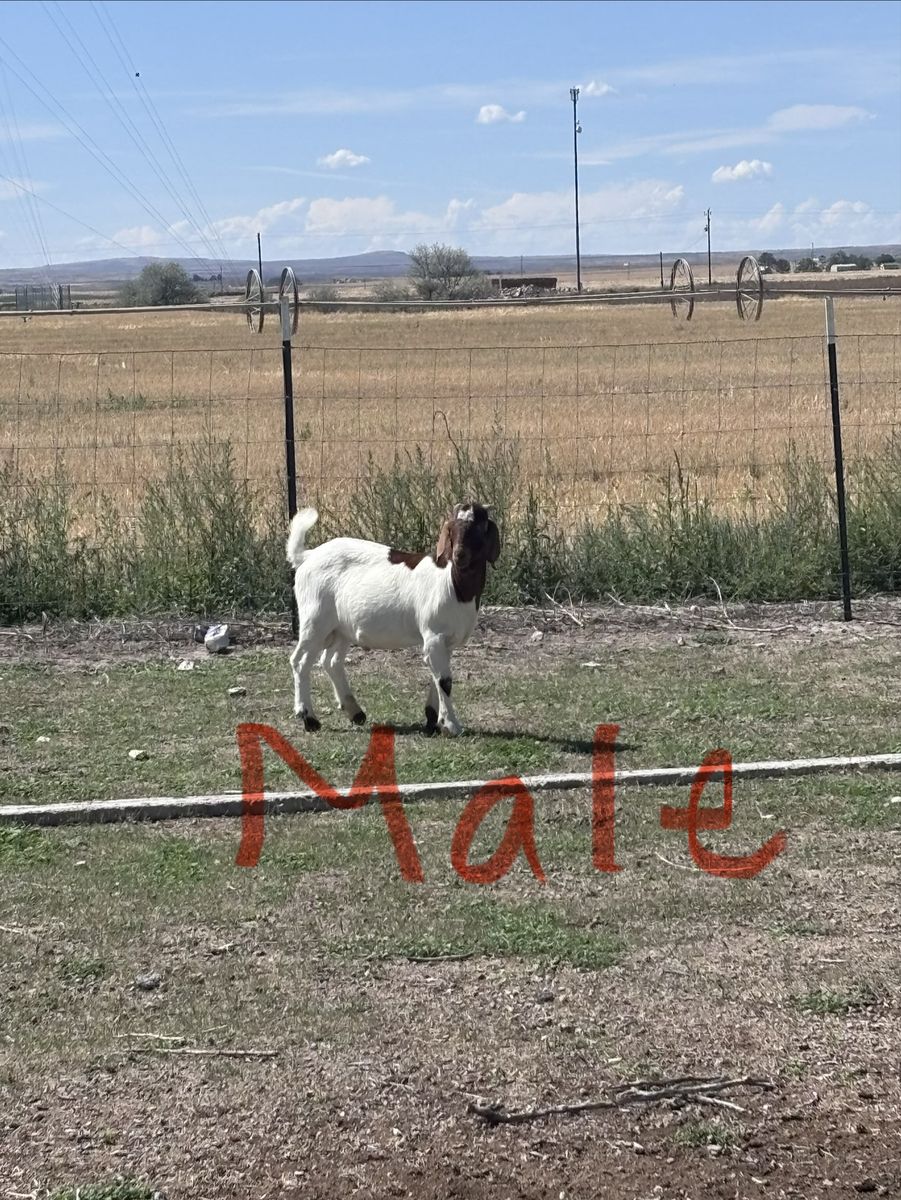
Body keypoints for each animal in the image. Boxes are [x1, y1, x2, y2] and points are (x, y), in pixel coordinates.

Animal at [285, 502, 501, 736]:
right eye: (451, 528)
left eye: (480, 526)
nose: (460, 555)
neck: (453, 582)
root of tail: (307, 556)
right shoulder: (434, 634)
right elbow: (444, 680)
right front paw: (451, 724)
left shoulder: (446, 641)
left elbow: (437, 677)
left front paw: (432, 719)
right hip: (314, 620)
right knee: (300, 661)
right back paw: (308, 718)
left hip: (341, 628)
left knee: (331, 661)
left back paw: (355, 712)